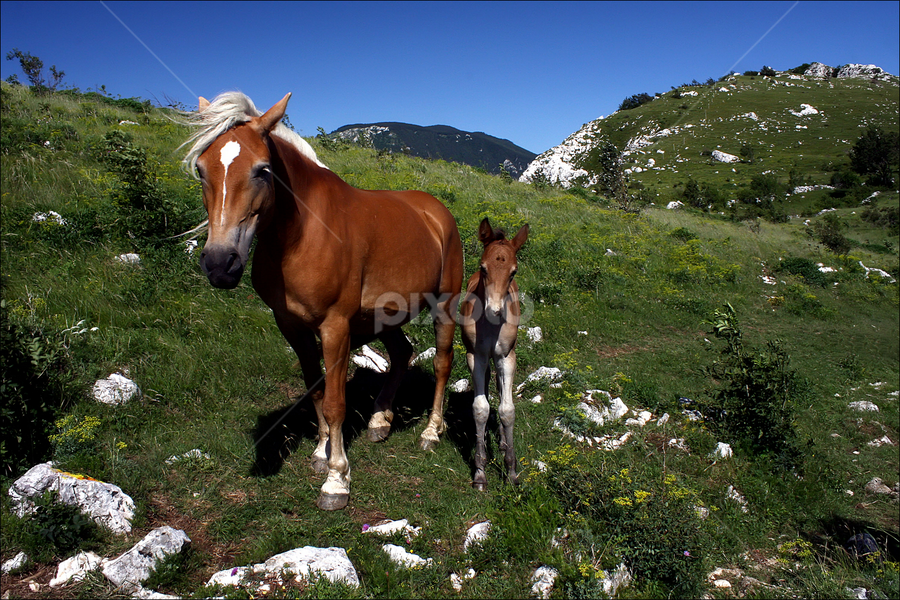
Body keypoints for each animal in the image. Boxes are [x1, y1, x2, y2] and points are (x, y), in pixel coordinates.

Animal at [182, 92, 463, 510]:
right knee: (402, 353)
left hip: (444, 304)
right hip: (385, 315)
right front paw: (321, 452)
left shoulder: (335, 327)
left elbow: (334, 402)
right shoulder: (291, 325)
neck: (303, 233)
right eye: (201, 170)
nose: (220, 264)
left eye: (263, 170)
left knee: (443, 363)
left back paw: (430, 432)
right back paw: (381, 420)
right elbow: (315, 389)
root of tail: (436, 211)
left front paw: (336, 479)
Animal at [459, 218, 528, 490]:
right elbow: (480, 408)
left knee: (500, 390)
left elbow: (507, 409)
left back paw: (501, 440)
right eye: (483, 268)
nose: (494, 310)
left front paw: (511, 470)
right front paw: (480, 473)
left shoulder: (506, 357)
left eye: (514, 272)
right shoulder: (475, 356)